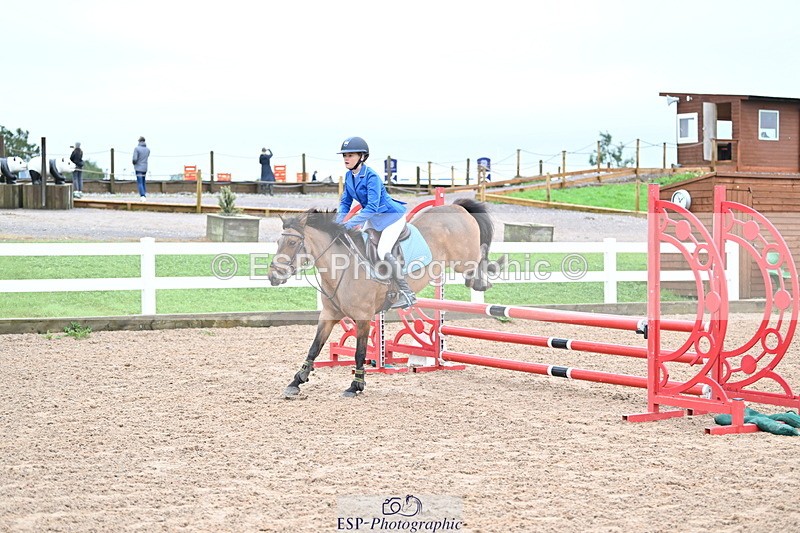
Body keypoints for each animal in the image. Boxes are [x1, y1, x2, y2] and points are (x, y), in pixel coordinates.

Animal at [268, 198, 495, 398]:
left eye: (291, 242)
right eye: (277, 242)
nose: (273, 277)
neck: (343, 267)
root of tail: (456, 207)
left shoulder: (363, 317)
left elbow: (359, 352)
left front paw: (355, 386)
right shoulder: (329, 315)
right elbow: (314, 347)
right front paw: (296, 381)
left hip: (463, 259)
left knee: (480, 256)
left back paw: (483, 280)